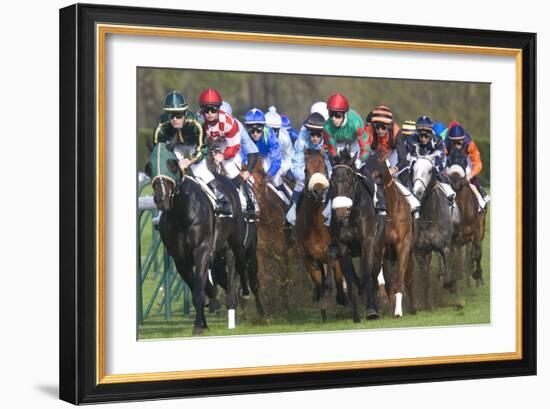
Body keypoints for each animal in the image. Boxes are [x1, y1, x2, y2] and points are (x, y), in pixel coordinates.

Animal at [148, 139, 249, 334]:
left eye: (172, 164)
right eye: (149, 167)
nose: (162, 199)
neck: (182, 214)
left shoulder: (201, 249)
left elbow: (198, 291)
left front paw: (197, 326)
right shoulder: (179, 258)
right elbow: (198, 286)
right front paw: (204, 320)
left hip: (234, 244)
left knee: (237, 269)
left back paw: (241, 299)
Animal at [296, 148, 348, 320]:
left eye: (325, 168)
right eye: (306, 170)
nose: (319, 191)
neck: (315, 224)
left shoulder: (333, 250)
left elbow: (336, 274)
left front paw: (341, 297)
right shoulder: (309, 257)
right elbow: (319, 283)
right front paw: (323, 305)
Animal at [328, 147, 380, 322]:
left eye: (350, 182)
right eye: (332, 182)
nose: (340, 213)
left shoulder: (368, 241)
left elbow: (367, 275)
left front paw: (371, 310)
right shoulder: (343, 246)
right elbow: (350, 282)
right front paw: (356, 315)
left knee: (374, 276)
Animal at [448, 148, 488, 286]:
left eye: (463, 161)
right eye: (449, 160)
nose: (455, 181)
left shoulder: (476, 229)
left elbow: (477, 252)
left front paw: (478, 275)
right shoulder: (456, 236)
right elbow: (455, 258)